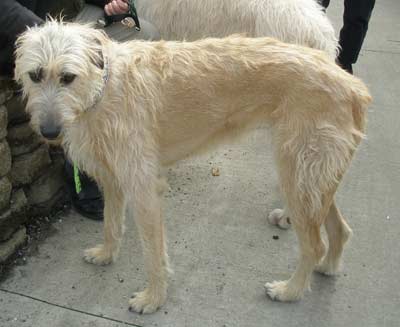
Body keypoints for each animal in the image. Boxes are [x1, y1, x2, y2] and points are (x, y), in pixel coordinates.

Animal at [15, 21, 372, 314]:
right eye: (35, 75)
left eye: (67, 77)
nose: (49, 132)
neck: (103, 88)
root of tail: (352, 84)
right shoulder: (112, 178)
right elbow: (110, 223)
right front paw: (106, 254)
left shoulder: (144, 188)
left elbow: (152, 252)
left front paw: (153, 299)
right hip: (311, 176)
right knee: (340, 229)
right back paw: (328, 266)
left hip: (299, 172)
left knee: (315, 243)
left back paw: (290, 291)